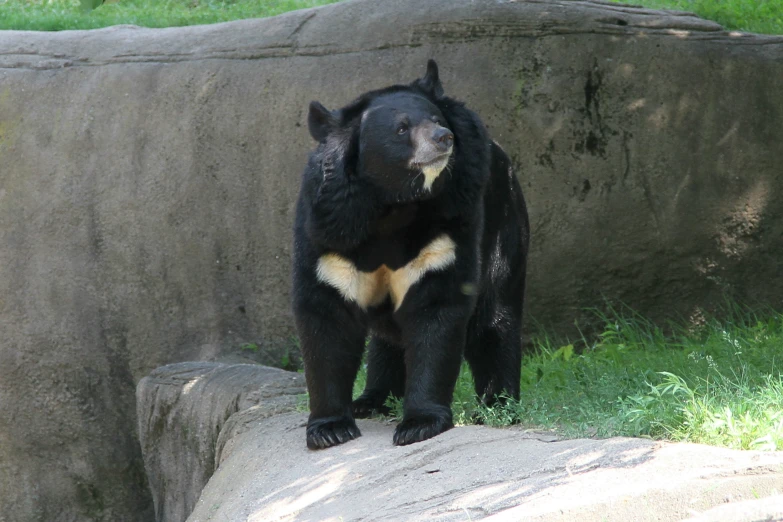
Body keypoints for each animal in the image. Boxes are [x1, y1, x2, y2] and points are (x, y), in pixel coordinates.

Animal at [294, 60, 532, 446]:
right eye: (402, 128)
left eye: (436, 118)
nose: (443, 138)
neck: (392, 205)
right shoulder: (329, 230)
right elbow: (326, 315)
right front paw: (329, 429)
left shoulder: (448, 225)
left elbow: (435, 310)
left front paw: (419, 423)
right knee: (386, 340)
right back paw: (371, 399)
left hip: (504, 222)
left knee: (496, 317)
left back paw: (498, 406)